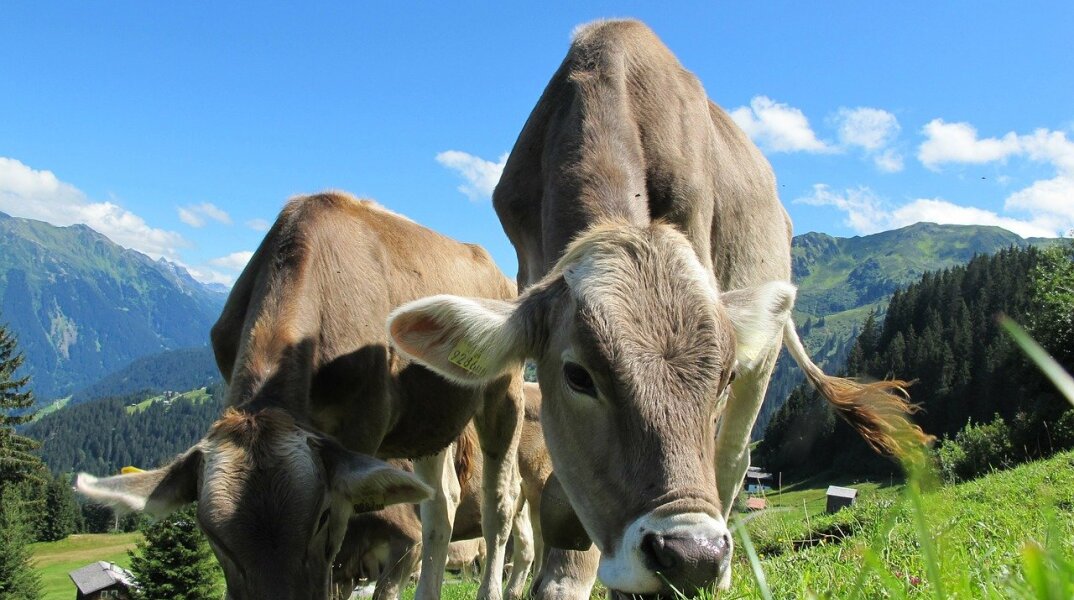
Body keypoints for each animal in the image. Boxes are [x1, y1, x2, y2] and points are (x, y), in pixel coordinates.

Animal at [77, 192, 526, 600]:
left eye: (321, 517)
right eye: (212, 535)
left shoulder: (361, 428)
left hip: (505, 392)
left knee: (499, 504)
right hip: (428, 422)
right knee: (441, 504)